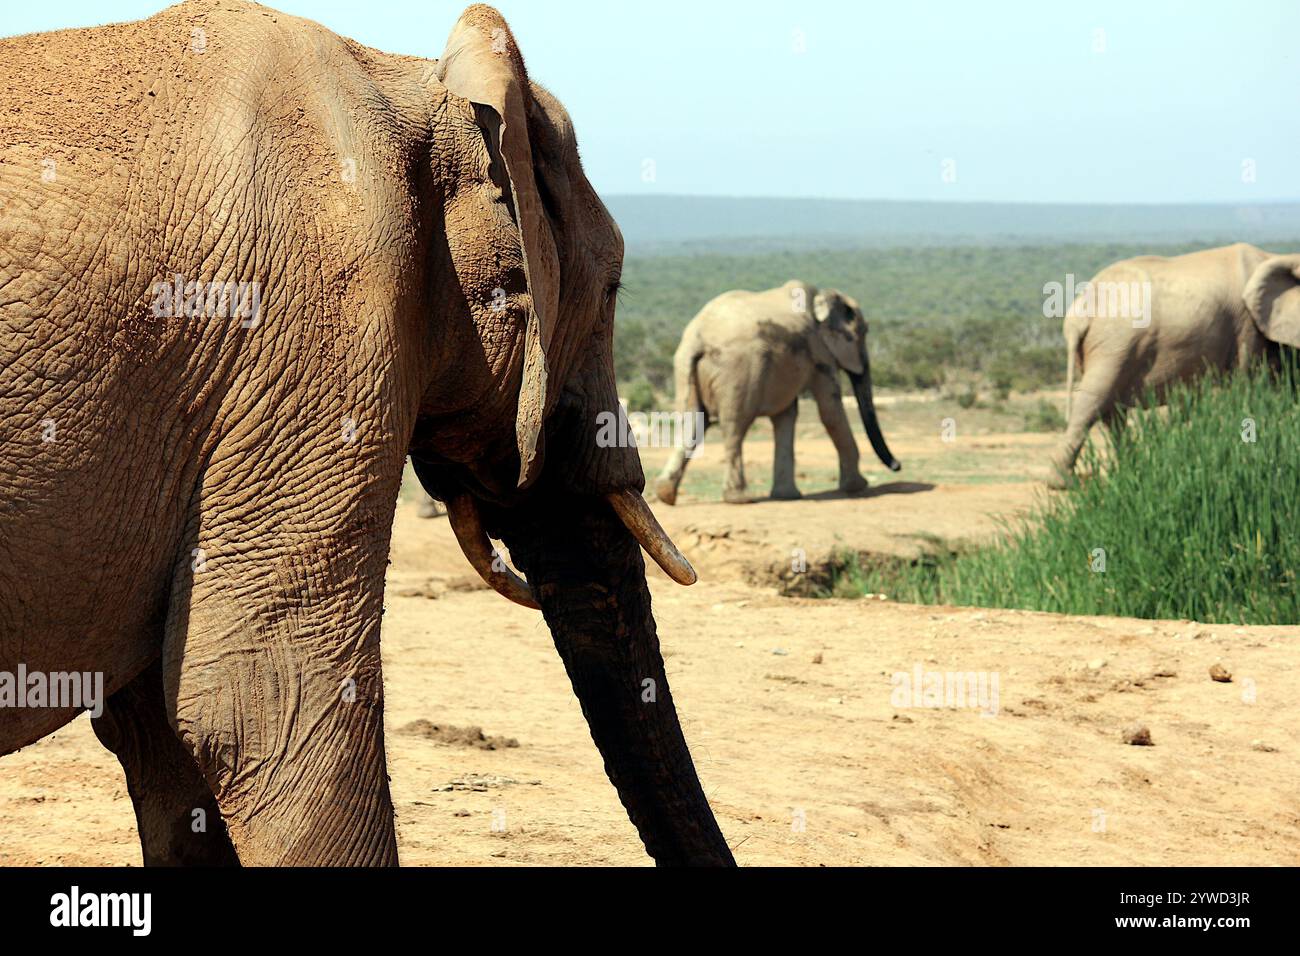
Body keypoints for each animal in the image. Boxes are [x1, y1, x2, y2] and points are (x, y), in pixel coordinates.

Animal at [655, 282, 899, 509]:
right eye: (863, 333)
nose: (897, 466)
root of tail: (698, 336)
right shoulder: (819, 352)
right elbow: (830, 410)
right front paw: (858, 486)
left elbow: (786, 416)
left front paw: (787, 496)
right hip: (739, 370)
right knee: (735, 426)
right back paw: (740, 499)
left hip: (685, 368)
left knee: (692, 422)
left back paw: (665, 494)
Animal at [1045, 240, 1300, 486]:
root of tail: (1078, 314)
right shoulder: (1248, 326)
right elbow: (1250, 385)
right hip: (1113, 344)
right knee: (1093, 402)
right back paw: (1065, 482)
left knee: (1111, 409)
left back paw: (1132, 470)